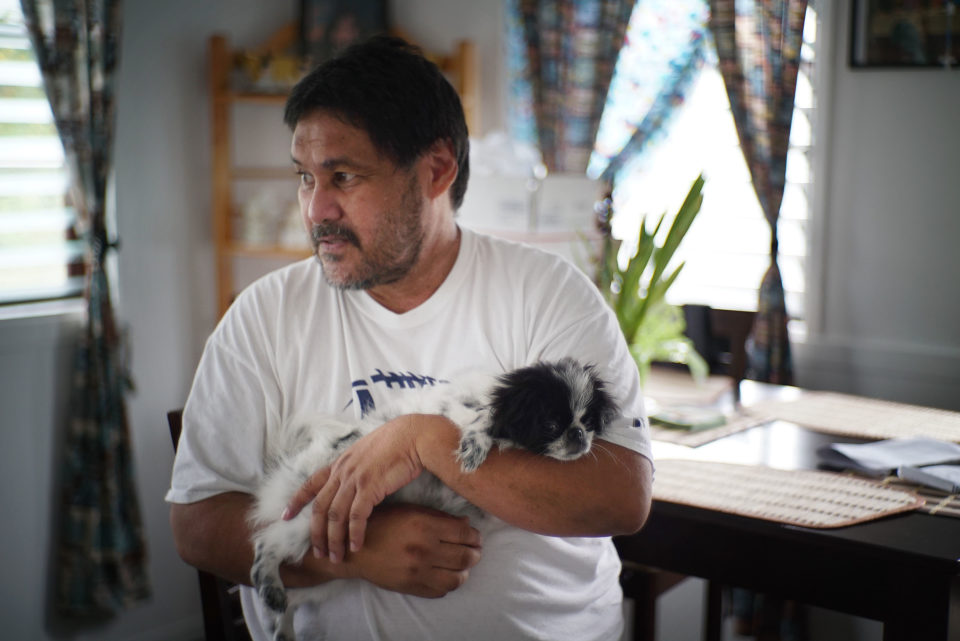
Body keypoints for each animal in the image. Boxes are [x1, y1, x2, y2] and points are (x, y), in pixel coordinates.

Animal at [249, 358, 624, 636]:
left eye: (588, 421)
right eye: (550, 425)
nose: (578, 435)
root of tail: (298, 464)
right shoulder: (463, 410)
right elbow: (481, 420)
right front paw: (475, 446)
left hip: (332, 568)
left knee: (293, 598)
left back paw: (281, 622)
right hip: (314, 520)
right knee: (265, 544)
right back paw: (269, 585)